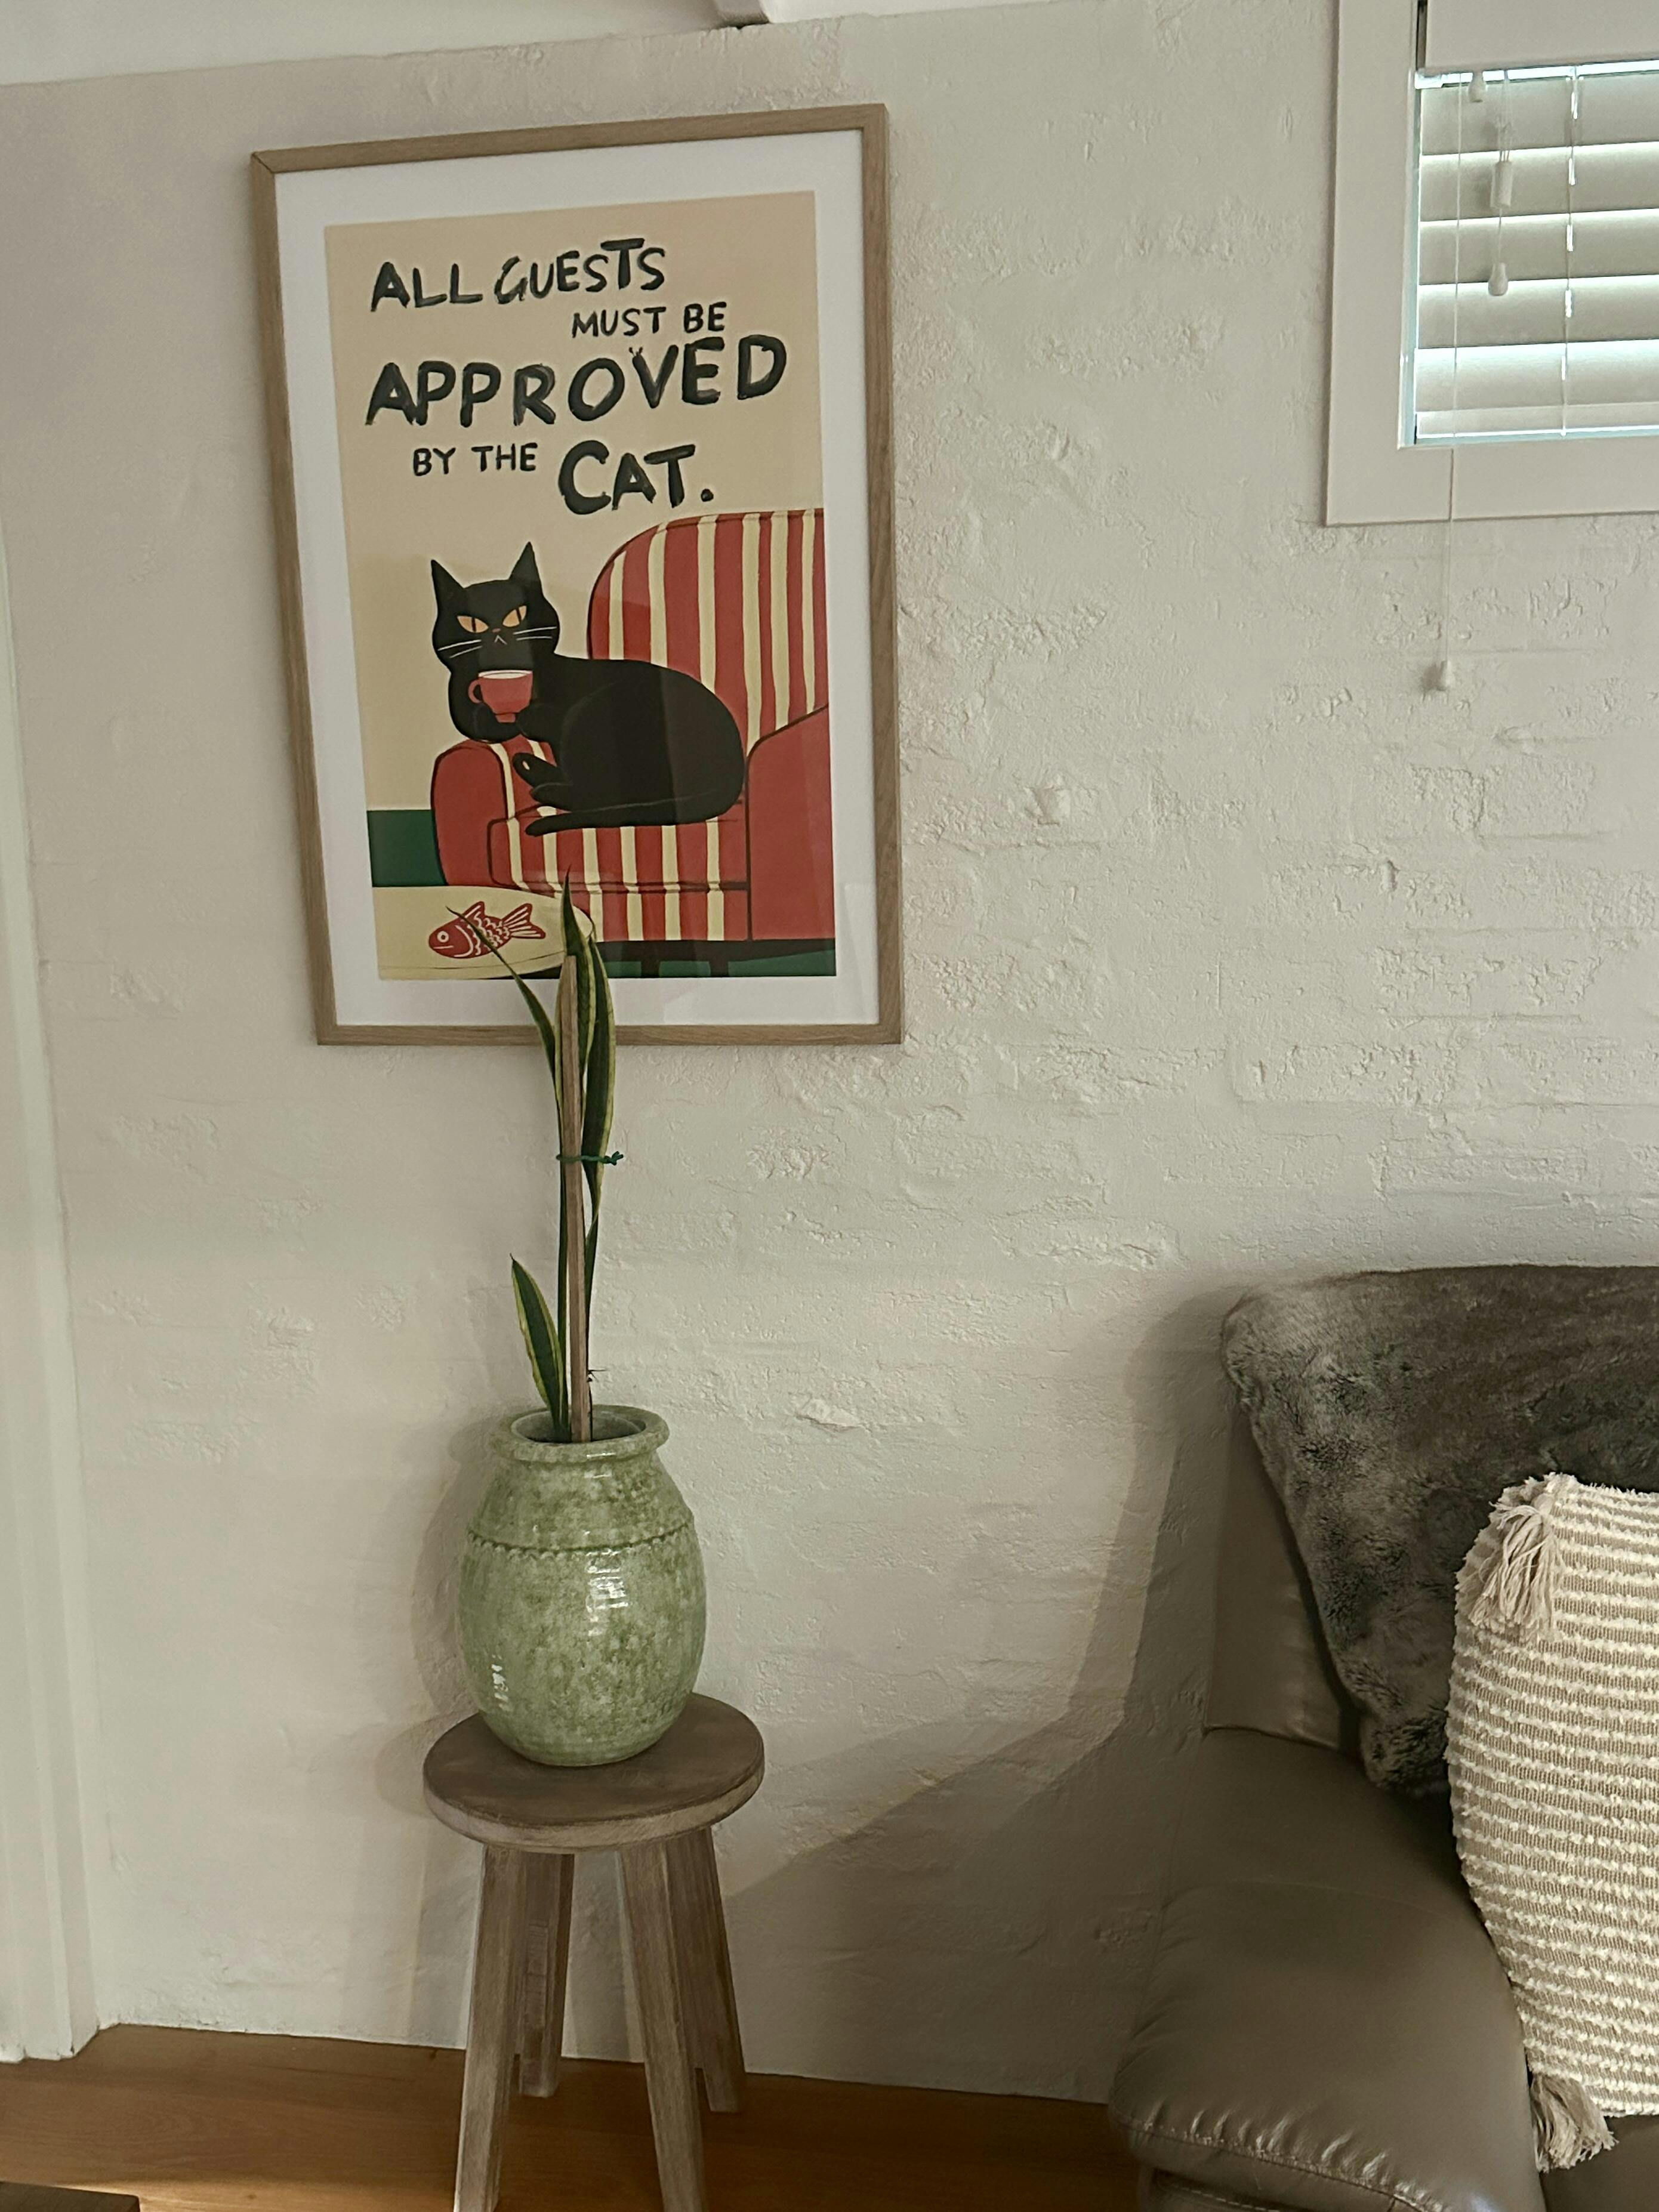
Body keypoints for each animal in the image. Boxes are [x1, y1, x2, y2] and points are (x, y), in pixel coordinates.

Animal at [430, 543, 746, 837]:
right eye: (471, 623)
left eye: (518, 614)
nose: (497, 632)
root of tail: (733, 775)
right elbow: (483, 721)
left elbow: (532, 718)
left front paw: (527, 717)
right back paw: (532, 768)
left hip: (595, 712)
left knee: (606, 794)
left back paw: (543, 785)